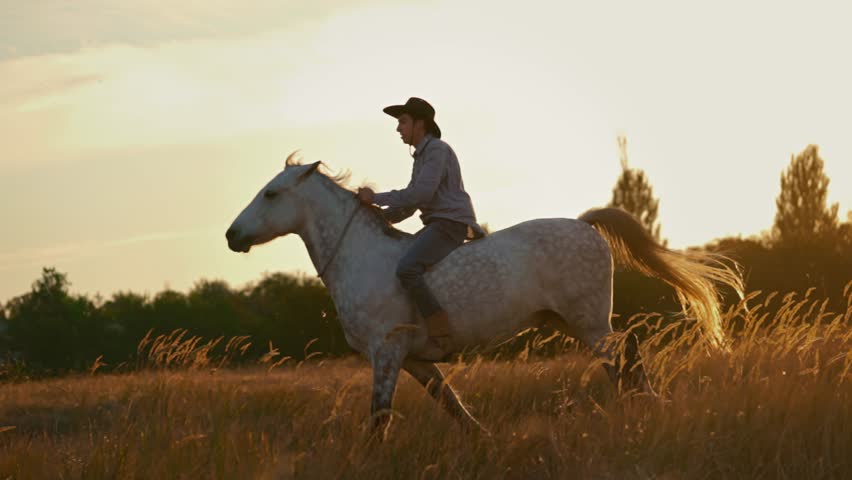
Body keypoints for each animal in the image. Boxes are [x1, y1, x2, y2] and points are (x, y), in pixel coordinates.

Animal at [225, 156, 744, 436]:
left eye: (271, 194)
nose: (232, 236)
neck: (361, 258)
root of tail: (585, 224)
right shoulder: (415, 360)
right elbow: (453, 406)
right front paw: (485, 439)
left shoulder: (387, 352)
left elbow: (380, 418)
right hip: (573, 322)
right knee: (622, 360)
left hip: (591, 321)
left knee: (627, 354)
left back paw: (646, 406)